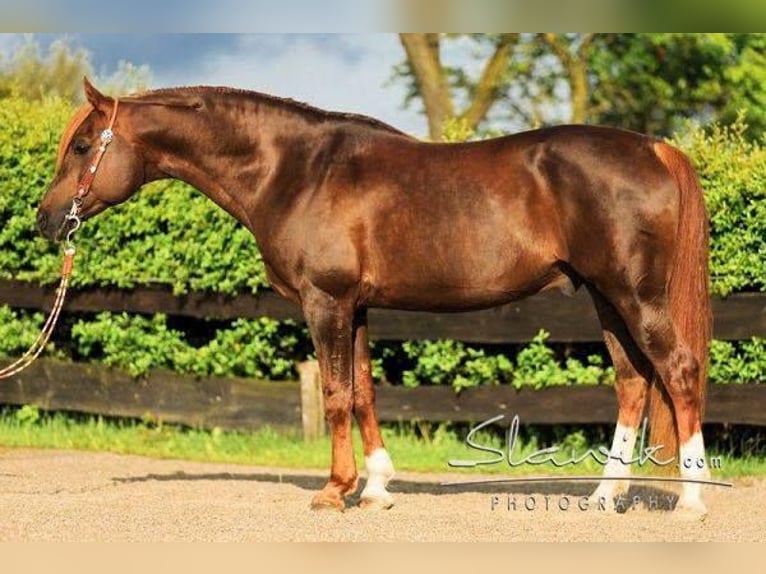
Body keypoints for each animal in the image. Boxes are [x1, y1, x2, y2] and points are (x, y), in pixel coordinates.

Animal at [38, 78, 712, 515]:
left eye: (81, 146)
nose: (46, 221)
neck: (296, 169)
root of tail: (655, 147)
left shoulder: (325, 302)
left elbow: (336, 395)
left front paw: (335, 491)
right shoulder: (355, 306)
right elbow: (363, 389)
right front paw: (378, 487)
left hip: (633, 294)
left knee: (678, 370)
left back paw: (692, 500)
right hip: (604, 297)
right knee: (633, 383)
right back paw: (604, 495)